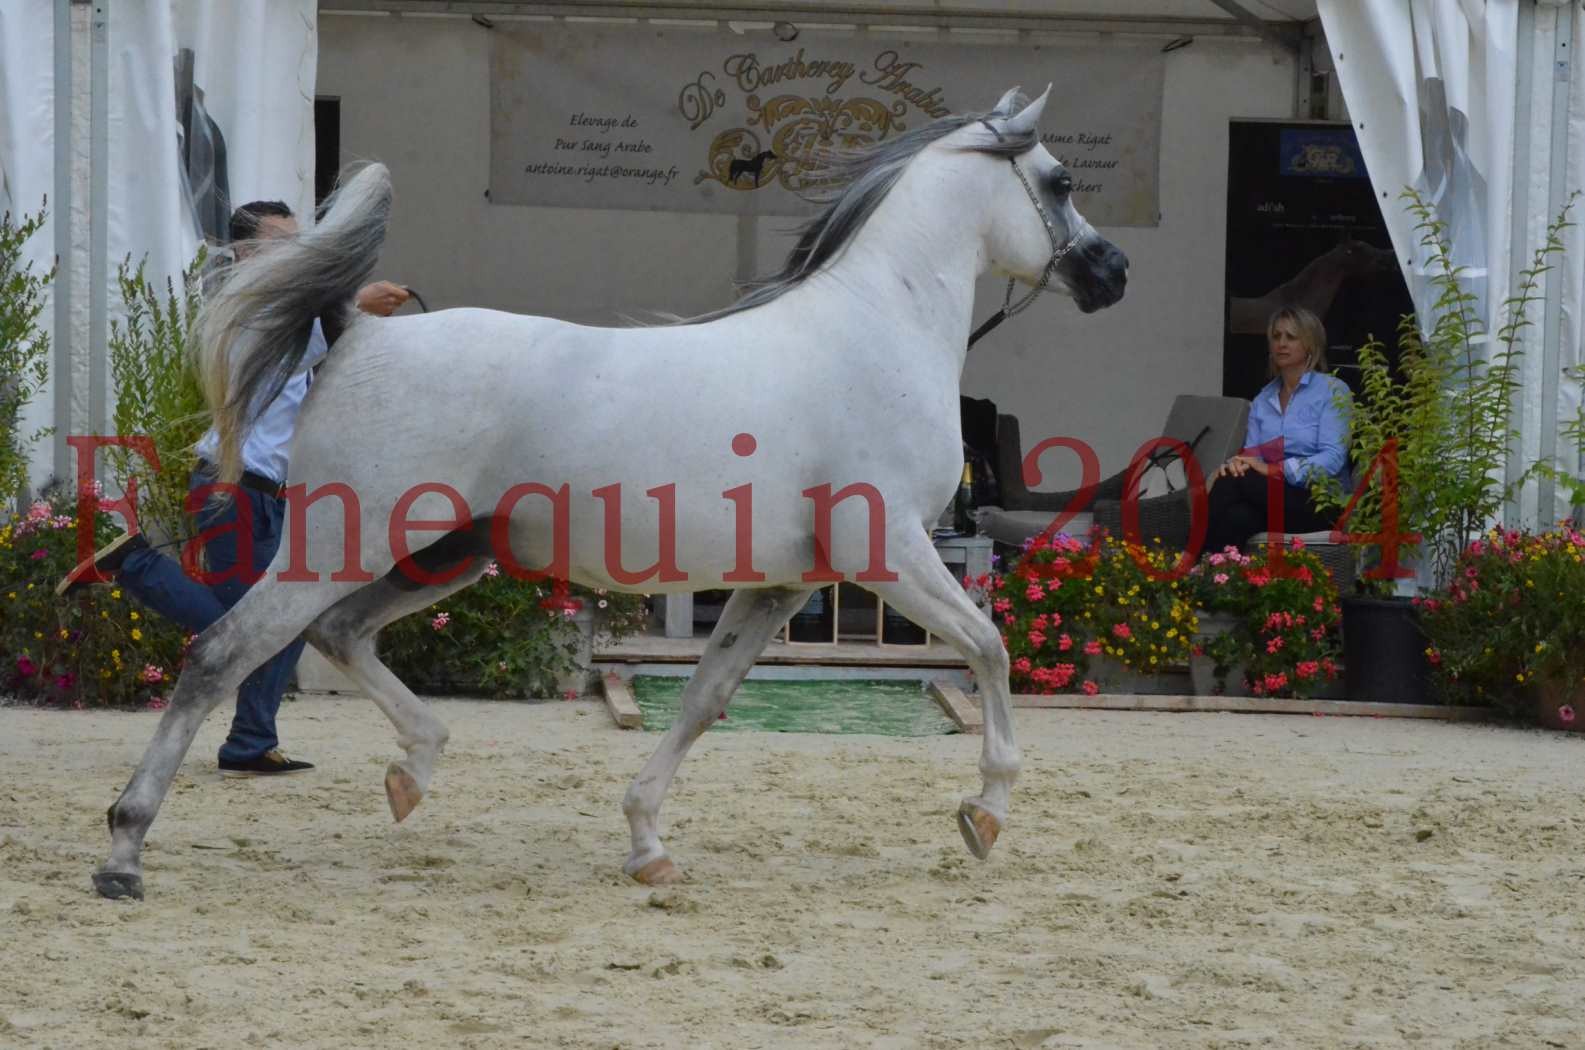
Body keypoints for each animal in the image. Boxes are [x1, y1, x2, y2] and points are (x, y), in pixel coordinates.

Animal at [92, 86, 1128, 900]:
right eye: (1060, 181)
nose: (1112, 272)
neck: (874, 330)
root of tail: (360, 329)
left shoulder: (781, 585)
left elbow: (704, 701)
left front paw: (645, 843)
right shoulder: (892, 554)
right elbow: (990, 648)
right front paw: (984, 812)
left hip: (447, 554)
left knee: (339, 636)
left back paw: (412, 773)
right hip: (340, 546)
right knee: (222, 654)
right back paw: (124, 852)